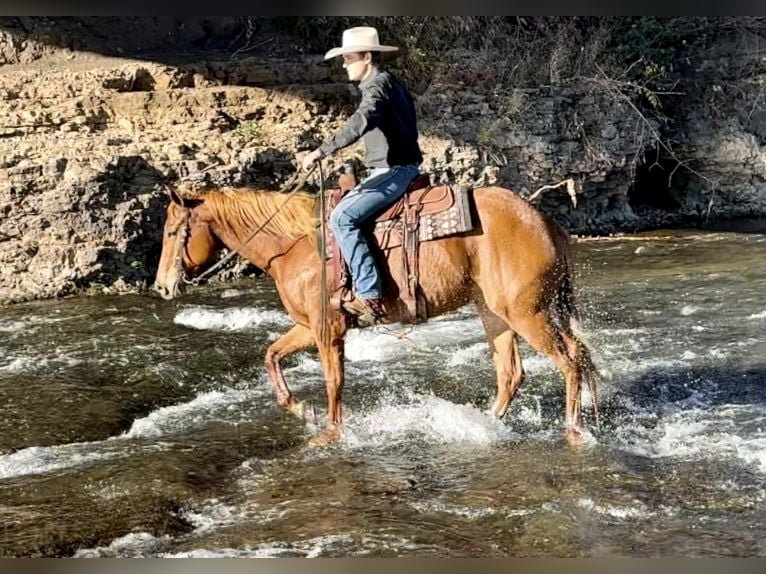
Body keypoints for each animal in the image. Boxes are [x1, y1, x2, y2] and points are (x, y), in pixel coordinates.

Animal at [153, 182, 604, 448]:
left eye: (174, 232)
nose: (161, 286)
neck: (294, 244)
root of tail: (544, 221)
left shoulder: (327, 330)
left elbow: (334, 382)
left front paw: (330, 433)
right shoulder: (307, 327)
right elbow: (271, 355)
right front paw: (303, 411)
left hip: (529, 314)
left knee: (570, 361)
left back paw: (573, 430)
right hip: (497, 315)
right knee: (514, 372)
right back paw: (482, 424)